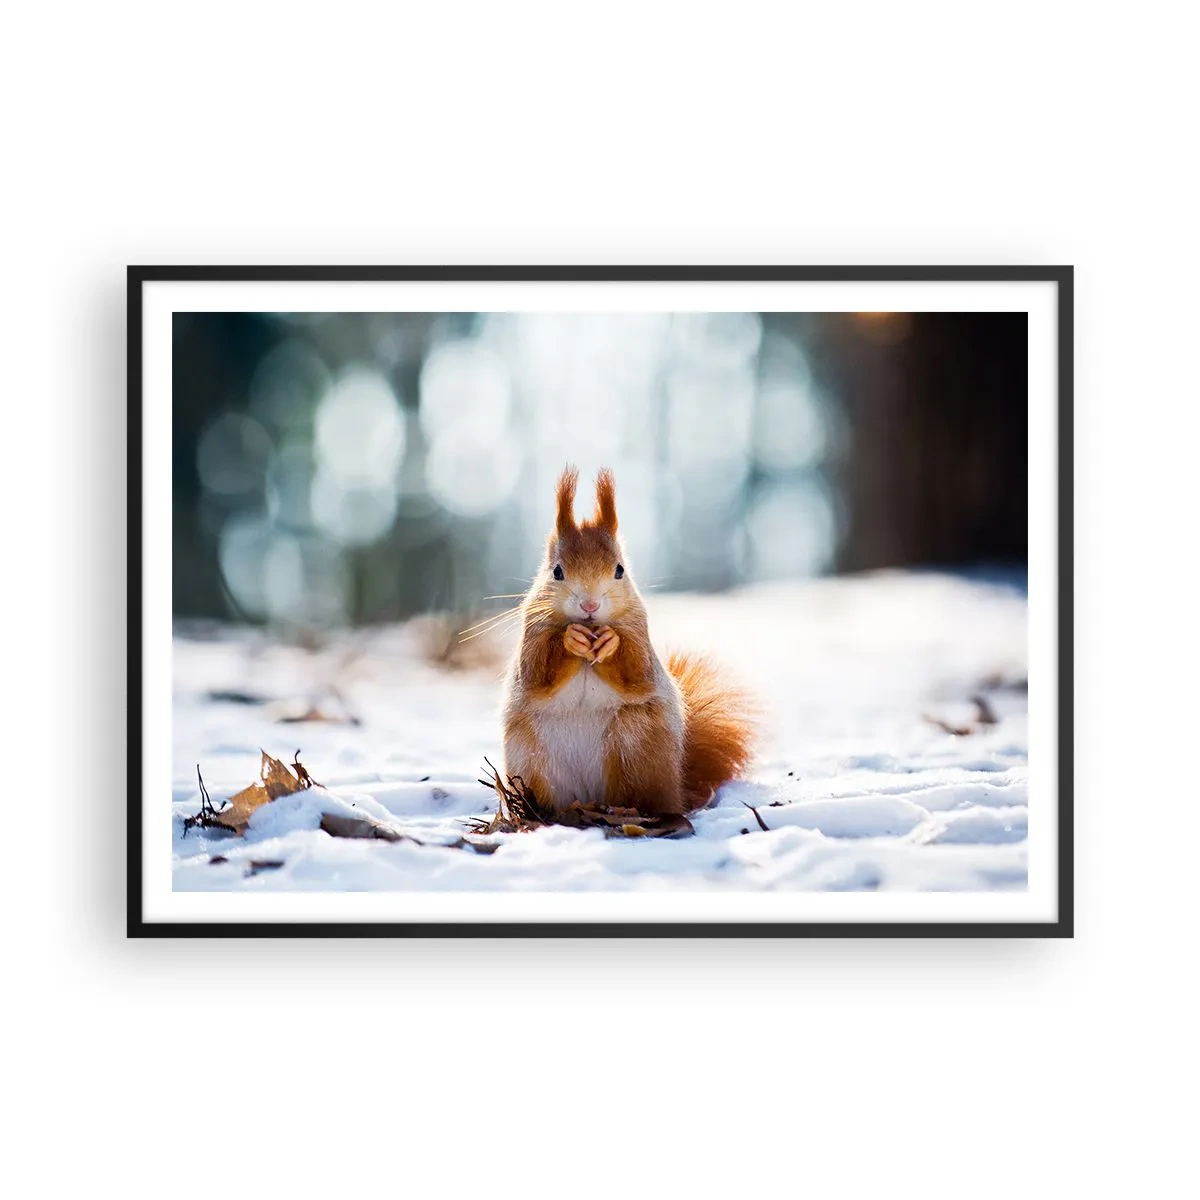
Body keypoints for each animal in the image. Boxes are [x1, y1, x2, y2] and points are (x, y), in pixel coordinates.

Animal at [502, 466, 755, 816]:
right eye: (557, 572)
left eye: (620, 570)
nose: (590, 606)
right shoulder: (532, 633)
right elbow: (537, 672)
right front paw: (570, 638)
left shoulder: (639, 633)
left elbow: (636, 671)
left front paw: (611, 642)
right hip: (530, 757)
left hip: (636, 743)